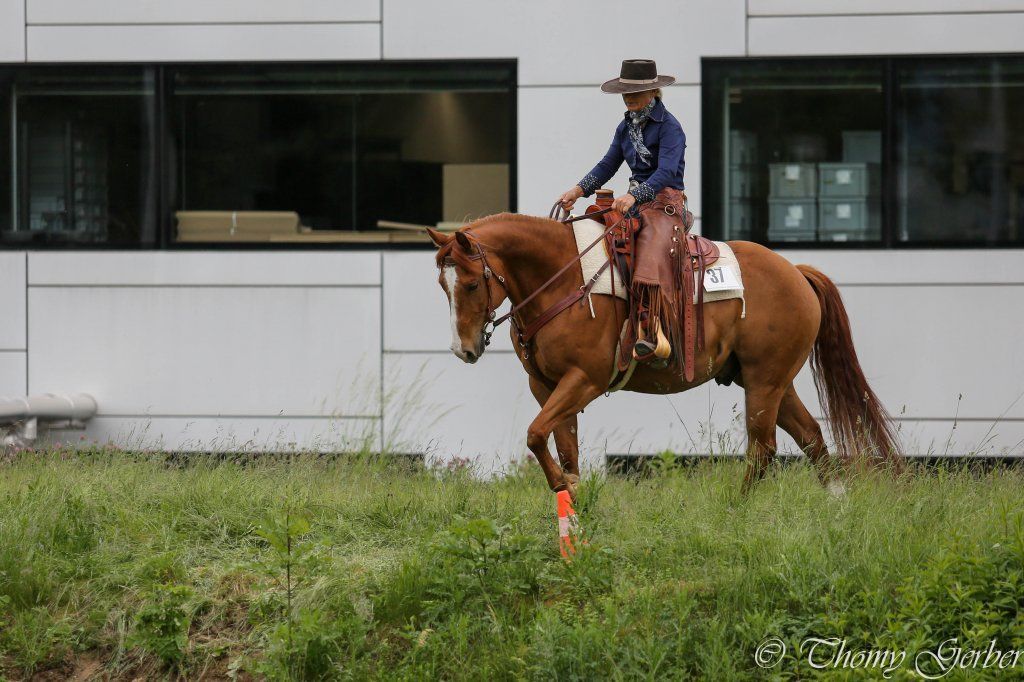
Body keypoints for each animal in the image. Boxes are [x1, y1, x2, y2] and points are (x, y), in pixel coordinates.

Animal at [426, 213, 903, 500]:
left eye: (472, 283)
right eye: (442, 285)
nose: (463, 349)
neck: (563, 278)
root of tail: (798, 274)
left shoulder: (585, 380)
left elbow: (535, 434)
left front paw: (564, 488)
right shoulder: (545, 386)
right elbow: (560, 445)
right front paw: (571, 499)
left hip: (765, 381)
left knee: (763, 447)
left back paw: (737, 507)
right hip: (772, 381)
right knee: (810, 437)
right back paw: (834, 502)